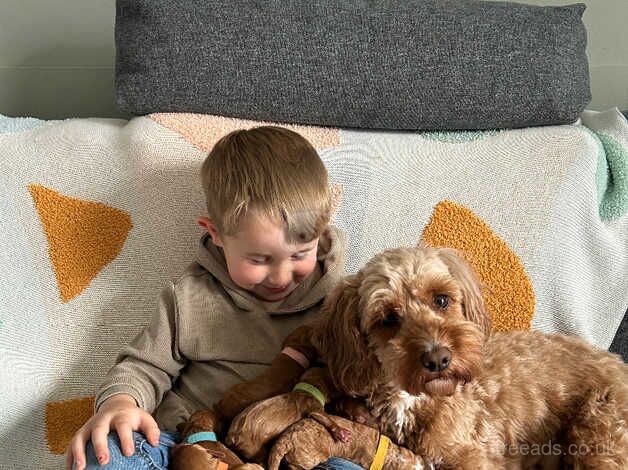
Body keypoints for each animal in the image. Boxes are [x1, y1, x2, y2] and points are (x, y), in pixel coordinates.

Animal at [310, 244, 628, 470]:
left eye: (441, 299)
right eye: (388, 319)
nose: (438, 359)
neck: (415, 399)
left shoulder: (474, 457)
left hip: (599, 433)